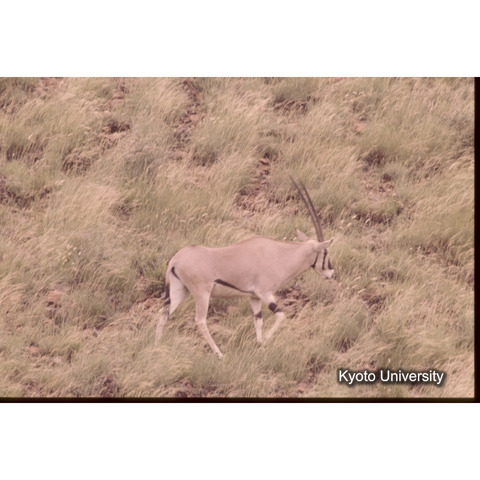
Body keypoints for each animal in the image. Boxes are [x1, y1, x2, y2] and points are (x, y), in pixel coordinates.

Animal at [155, 179, 334, 358]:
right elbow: (281, 316)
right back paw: (219, 354)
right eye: (325, 252)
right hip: (202, 293)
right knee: (200, 320)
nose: (331, 273)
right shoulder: (265, 293)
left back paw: (159, 345)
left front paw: (260, 344)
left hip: (179, 290)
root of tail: (175, 260)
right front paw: (265, 341)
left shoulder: (254, 297)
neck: (281, 254)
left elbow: (258, 321)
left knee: (163, 314)